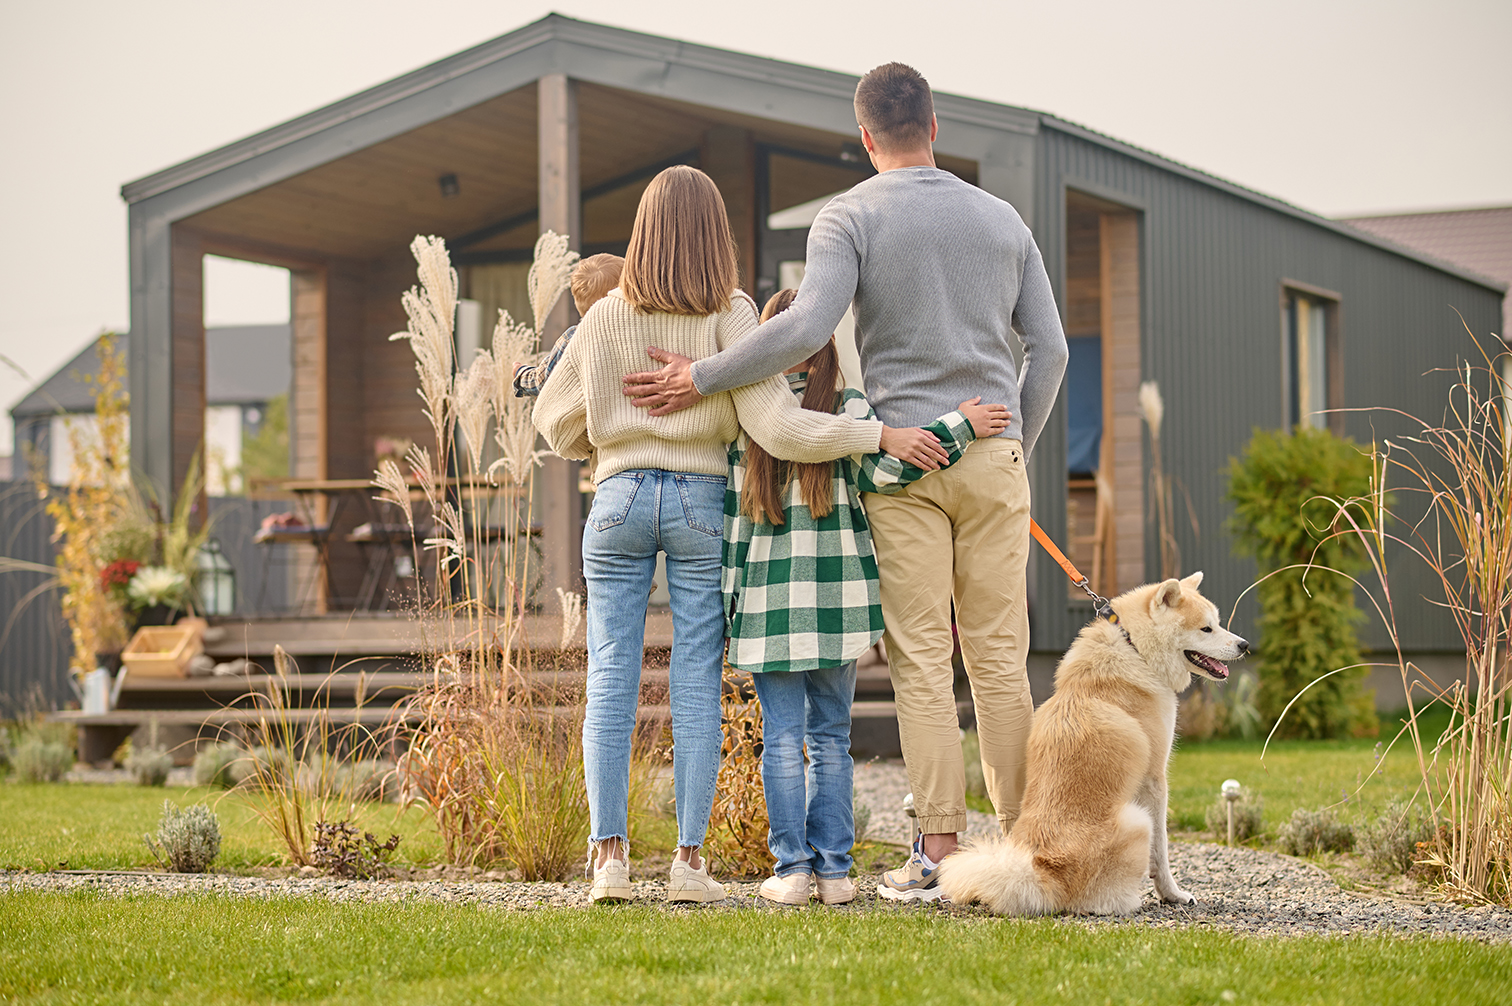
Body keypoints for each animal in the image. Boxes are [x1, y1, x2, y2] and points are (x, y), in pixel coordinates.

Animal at [937, 568, 1245, 913]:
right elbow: (1162, 853)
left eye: (1218, 623)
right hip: (1138, 819)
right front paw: (1172, 894)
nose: (1245, 645)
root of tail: (1044, 870)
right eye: (1206, 628)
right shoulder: (1154, 782)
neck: (1135, 649)